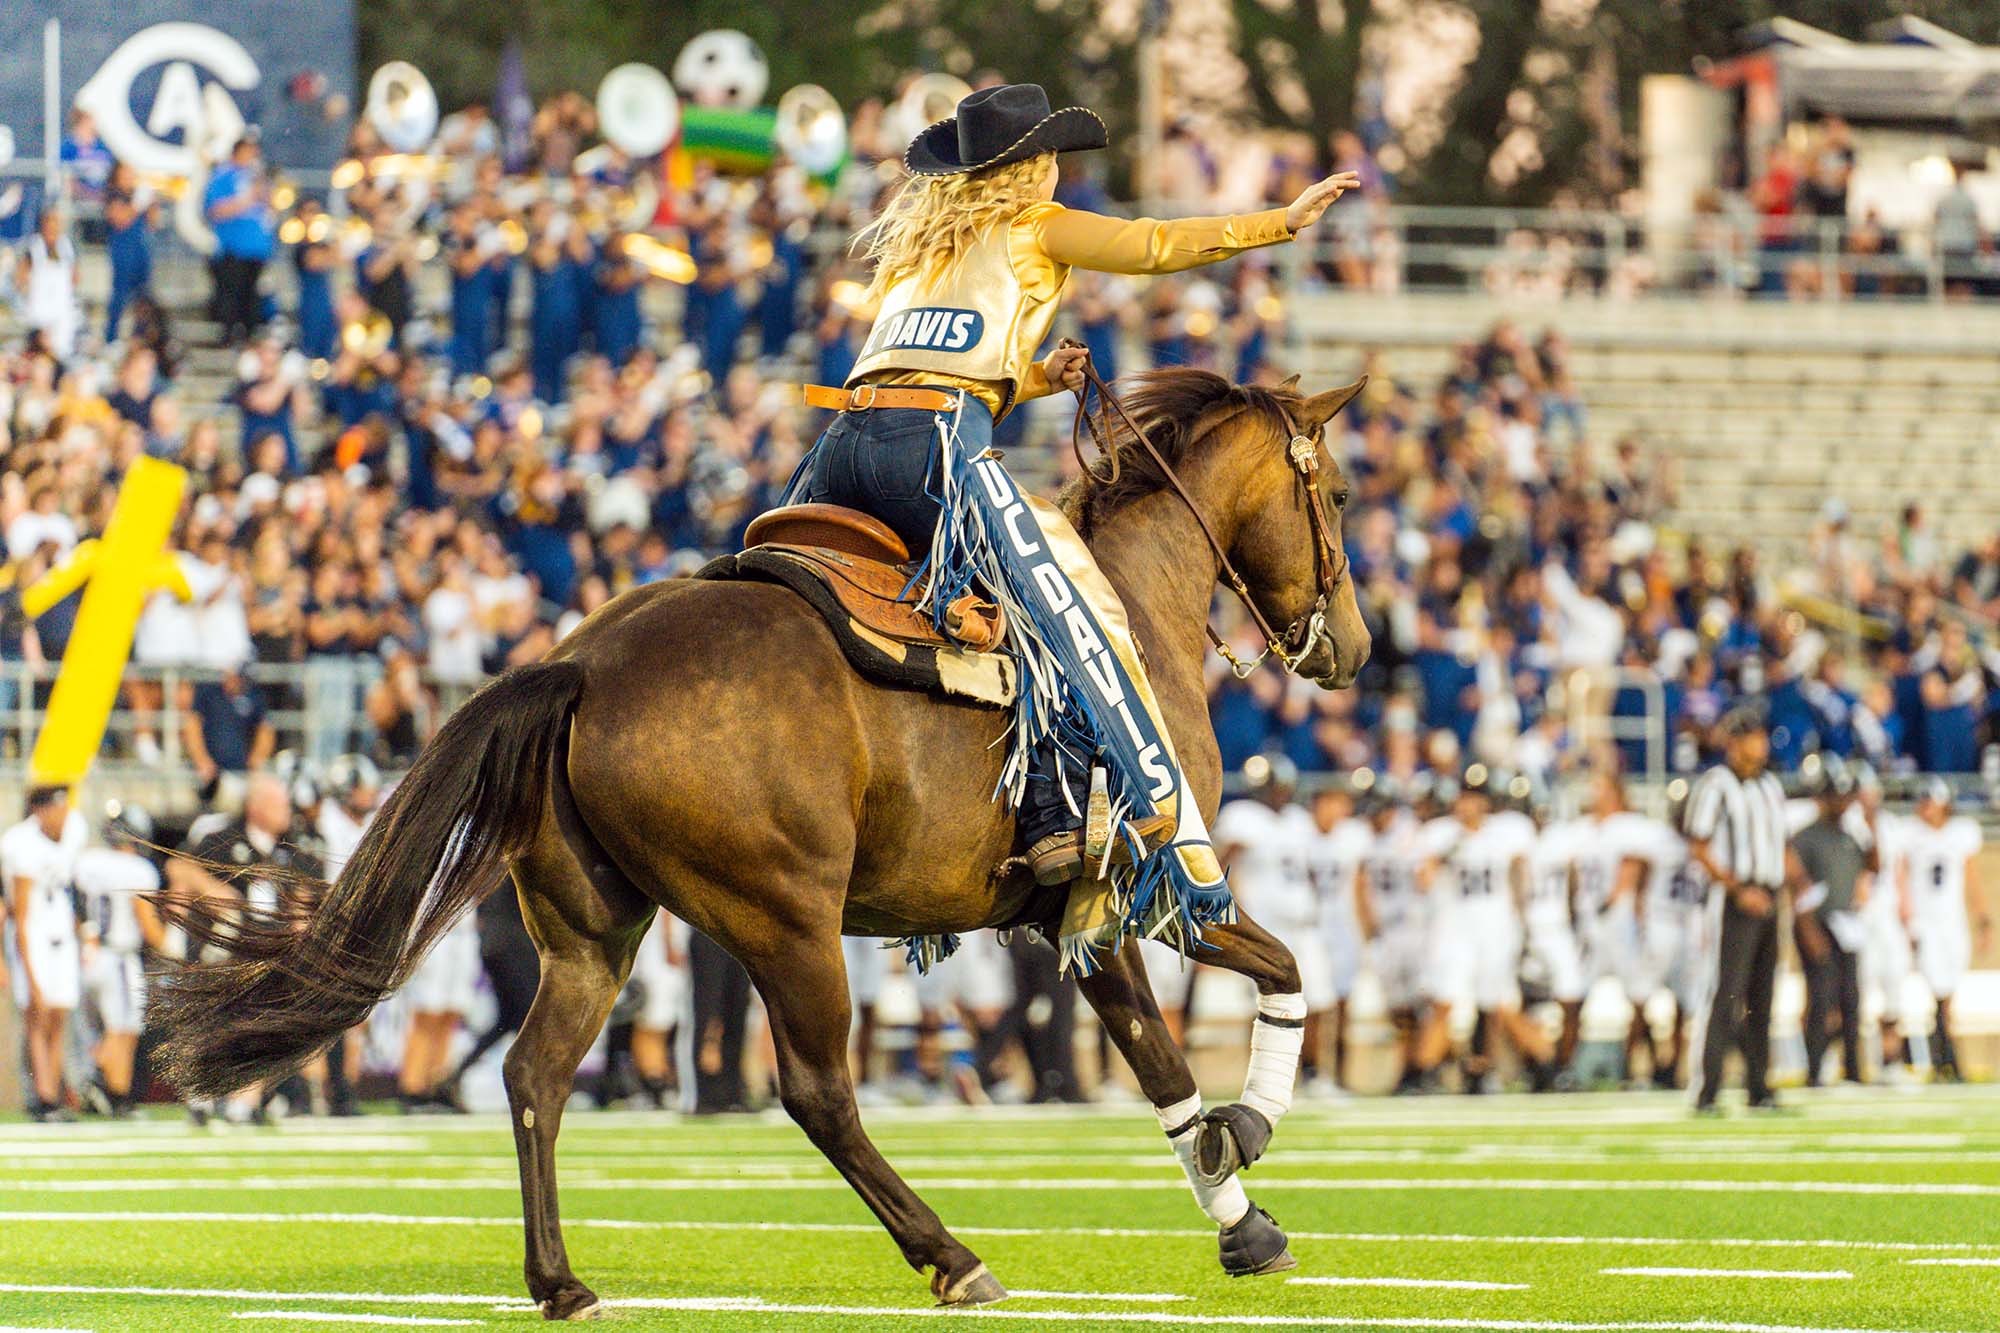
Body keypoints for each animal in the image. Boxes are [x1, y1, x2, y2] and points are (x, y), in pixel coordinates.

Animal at [156, 360, 1376, 1304]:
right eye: (1338, 490)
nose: (1355, 647)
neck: (1120, 607)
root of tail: (582, 663)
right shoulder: (1146, 891)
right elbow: (1258, 989)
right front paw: (1243, 1161)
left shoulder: (1075, 919)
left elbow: (1180, 1037)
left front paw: (1235, 1195)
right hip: (786, 922)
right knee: (816, 1090)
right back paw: (950, 1255)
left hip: (593, 933)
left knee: (535, 1075)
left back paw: (561, 1281)